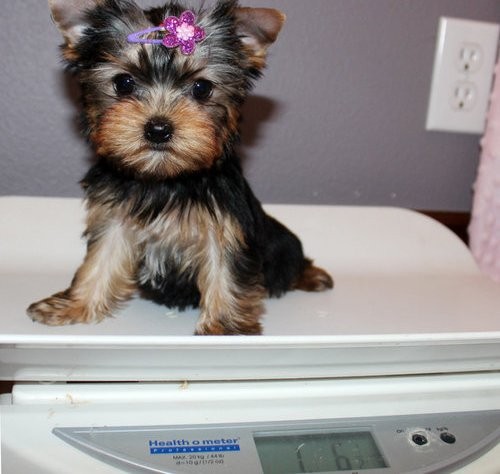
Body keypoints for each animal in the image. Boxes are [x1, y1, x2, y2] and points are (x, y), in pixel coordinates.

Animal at [28, 0, 332, 336]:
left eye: (201, 87)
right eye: (124, 83)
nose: (158, 129)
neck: (165, 178)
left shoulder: (225, 225)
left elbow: (225, 271)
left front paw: (224, 328)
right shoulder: (114, 218)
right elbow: (99, 261)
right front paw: (74, 304)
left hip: (278, 240)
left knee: (290, 256)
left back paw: (310, 275)